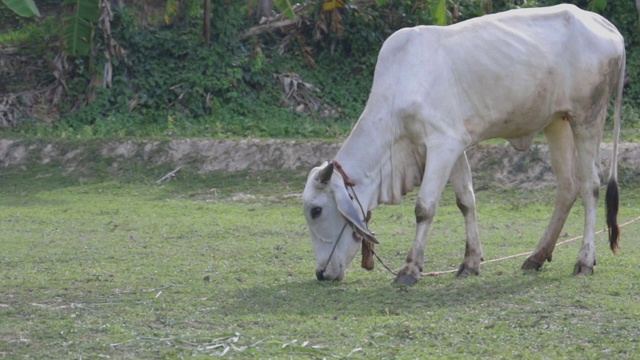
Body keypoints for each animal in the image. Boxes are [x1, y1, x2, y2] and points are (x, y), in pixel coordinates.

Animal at [302, 3, 624, 284]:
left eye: (316, 210)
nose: (321, 273)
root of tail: (605, 24)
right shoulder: (455, 146)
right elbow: (465, 201)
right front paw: (470, 262)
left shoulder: (443, 144)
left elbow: (424, 207)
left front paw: (410, 269)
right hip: (556, 122)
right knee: (568, 186)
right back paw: (537, 256)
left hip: (587, 118)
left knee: (590, 185)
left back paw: (584, 260)